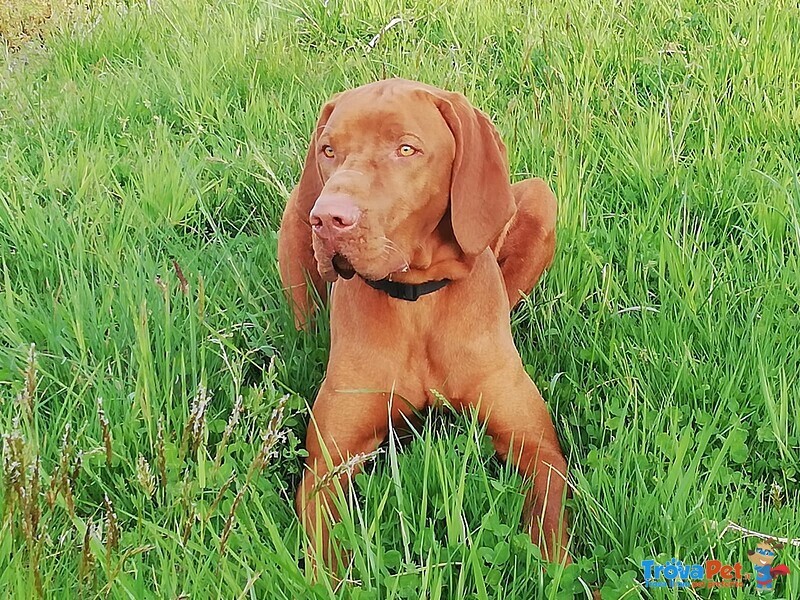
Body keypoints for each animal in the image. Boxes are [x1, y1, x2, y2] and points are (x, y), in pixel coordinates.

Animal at [278, 78, 564, 572]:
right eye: (329, 150)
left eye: (406, 149)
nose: (328, 218)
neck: (416, 304)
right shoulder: (327, 464)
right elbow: (325, 558)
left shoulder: (539, 449)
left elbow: (549, 543)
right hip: (294, 219)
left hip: (541, 198)